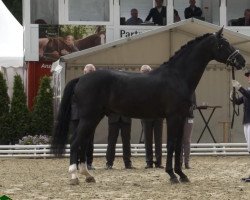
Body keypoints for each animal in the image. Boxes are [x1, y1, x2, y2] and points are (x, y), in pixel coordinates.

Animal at [50, 28, 244, 184]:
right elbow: (172, 144)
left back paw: (88, 175)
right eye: (223, 43)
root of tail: (81, 78)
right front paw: (172, 175)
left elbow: (178, 146)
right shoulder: (173, 117)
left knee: (82, 143)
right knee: (75, 142)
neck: (178, 76)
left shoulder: (181, 118)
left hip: (93, 118)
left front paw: (182, 174)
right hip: (89, 117)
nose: (241, 60)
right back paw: (74, 177)